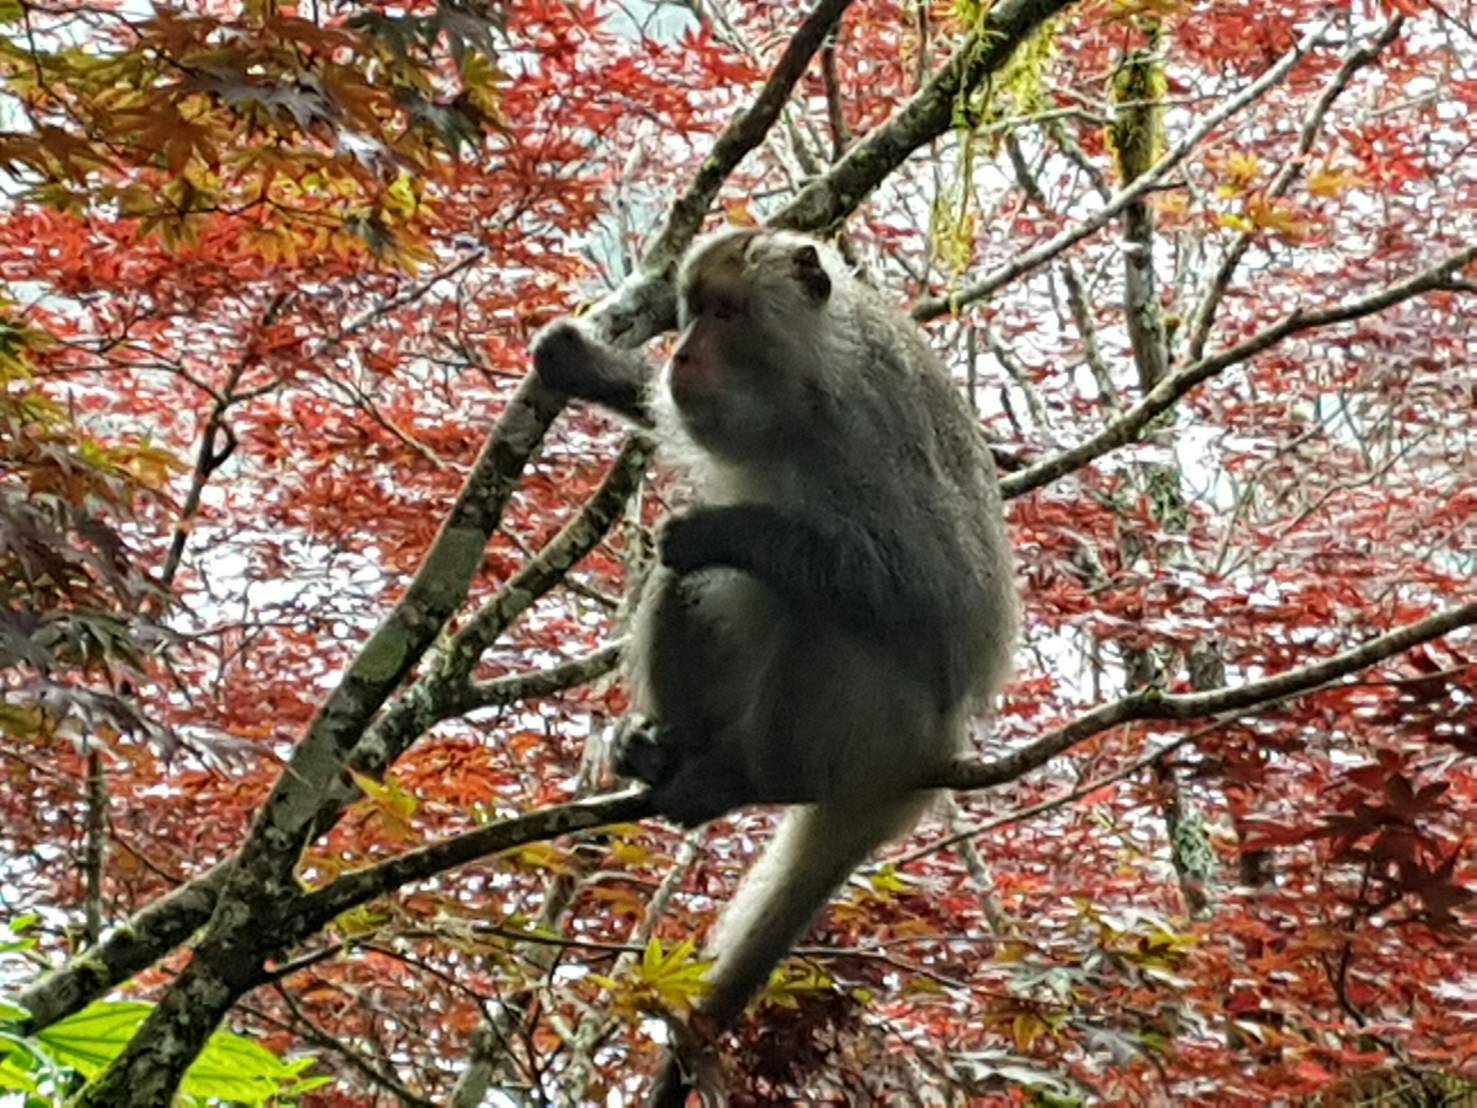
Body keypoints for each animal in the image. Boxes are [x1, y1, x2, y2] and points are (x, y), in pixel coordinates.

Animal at [531, 227, 1016, 1105]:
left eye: (724, 314)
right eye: (689, 313)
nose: (683, 354)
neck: (801, 389)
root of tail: (928, 765)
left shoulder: (871, 422)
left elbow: (938, 594)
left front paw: (716, 528)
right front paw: (585, 362)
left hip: (884, 734)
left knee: (822, 618)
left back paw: (750, 776)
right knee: (694, 590)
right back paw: (668, 752)